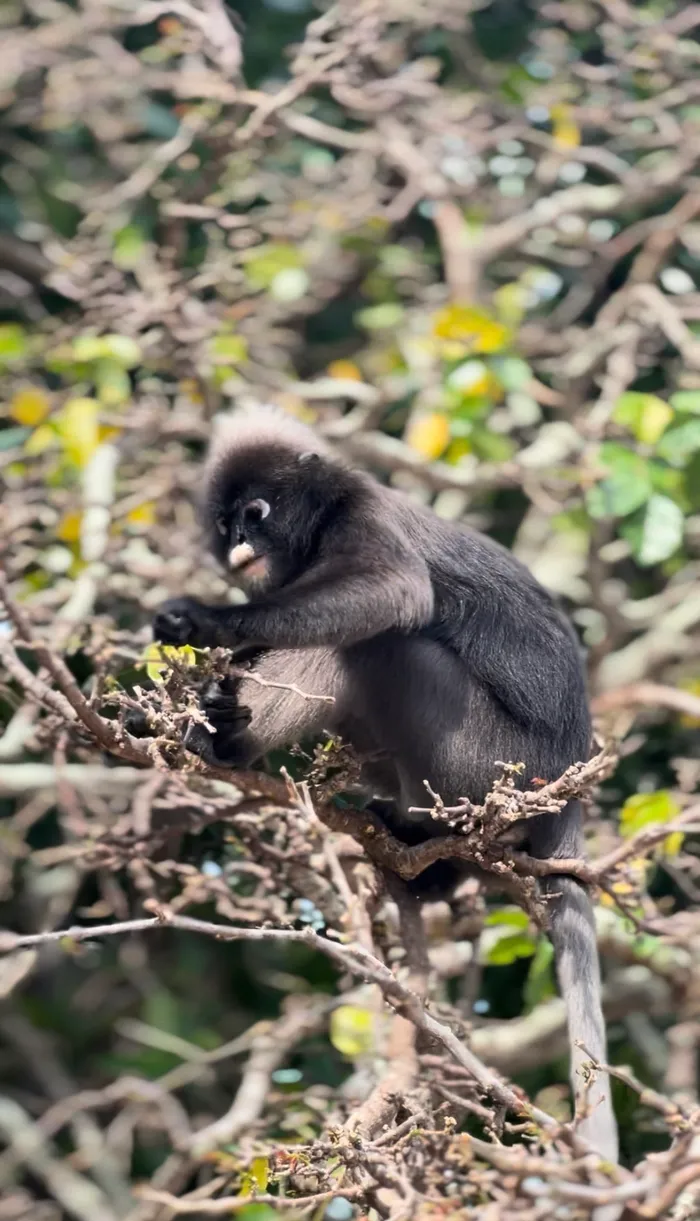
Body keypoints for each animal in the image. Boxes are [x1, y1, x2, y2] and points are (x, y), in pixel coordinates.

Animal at [153, 404, 618, 1167]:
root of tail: (565, 800)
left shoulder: (364, 520)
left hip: (486, 765)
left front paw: (205, 619)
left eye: (256, 512)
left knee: (380, 642)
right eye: (226, 525)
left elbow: (389, 590)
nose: (241, 545)